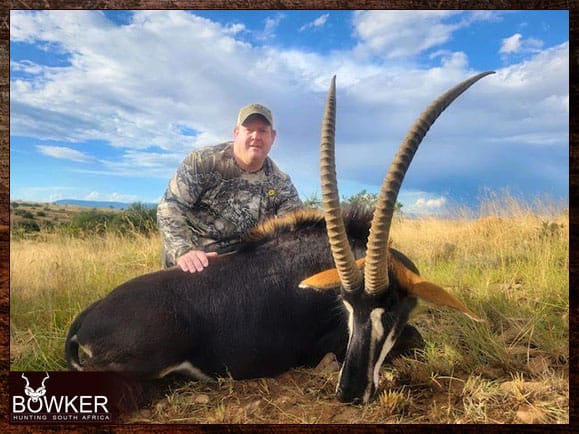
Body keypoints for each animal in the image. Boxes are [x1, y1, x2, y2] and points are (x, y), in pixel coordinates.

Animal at [67, 70, 494, 404]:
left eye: (389, 308)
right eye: (346, 305)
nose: (350, 393)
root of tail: (87, 314)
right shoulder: (328, 343)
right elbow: (416, 338)